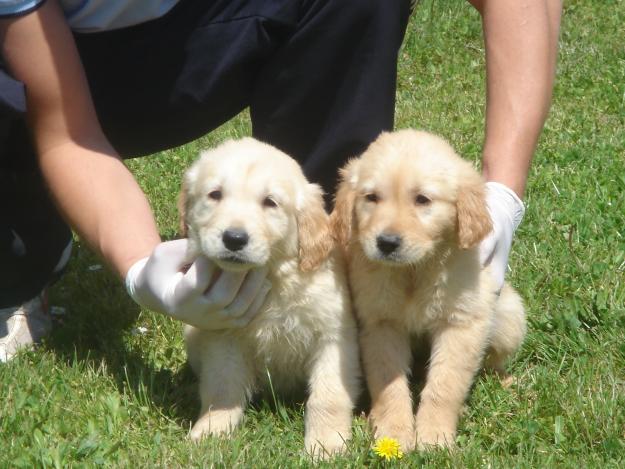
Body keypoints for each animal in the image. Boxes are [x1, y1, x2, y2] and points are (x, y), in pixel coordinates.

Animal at [178, 136, 358, 458]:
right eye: (215, 194)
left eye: (270, 203)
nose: (234, 239)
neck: (273, 281)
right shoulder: (223, 337)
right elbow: (221, 387)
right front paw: (211, 432)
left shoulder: (334, 337)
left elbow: (328, 396)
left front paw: (326, 444)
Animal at [332, 129, 528, 450]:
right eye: (371, 198)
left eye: (422, 200)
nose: (386, 243)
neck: (414, 271)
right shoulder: (382, 324)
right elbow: (389, 385)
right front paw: (394, 432)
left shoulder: (461, 324)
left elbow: (444, 385)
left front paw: (434, 436)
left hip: (508, 316)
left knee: (492, 360)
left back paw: (503, 381)